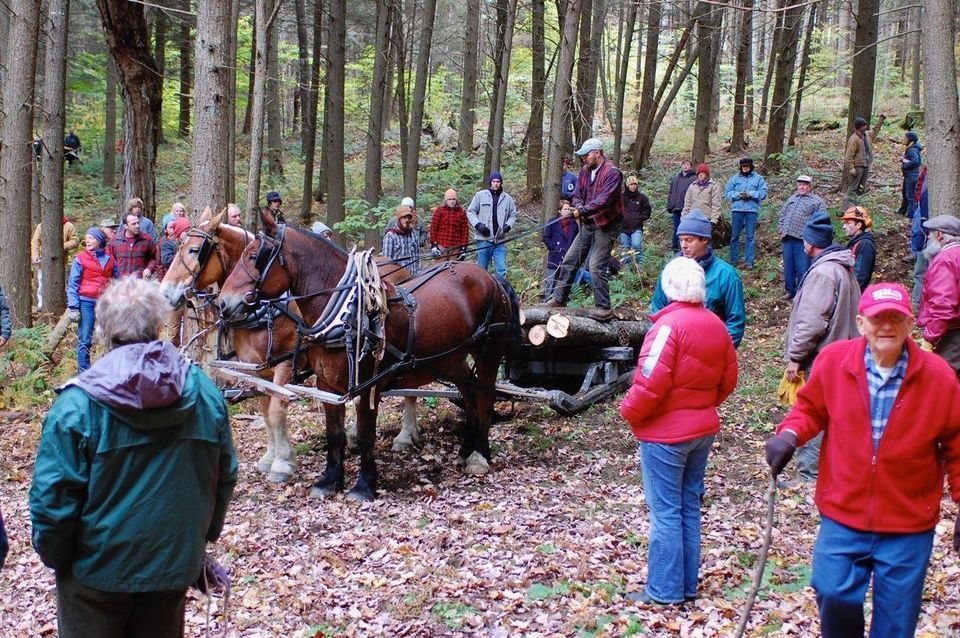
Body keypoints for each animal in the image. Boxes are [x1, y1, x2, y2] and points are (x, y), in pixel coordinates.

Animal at [219, 209, 516, 500]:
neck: (346, 313)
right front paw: (329, 481)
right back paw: (466, 451)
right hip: (451, 359)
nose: (223, 302)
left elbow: (365, 435)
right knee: (469, 392)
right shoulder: (326, 385)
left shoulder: (365, 386)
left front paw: (364, 485)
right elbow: (334, 433)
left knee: (485, 398)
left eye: (253, 256)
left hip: (489, 353)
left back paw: (480, 455)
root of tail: (490, 277)